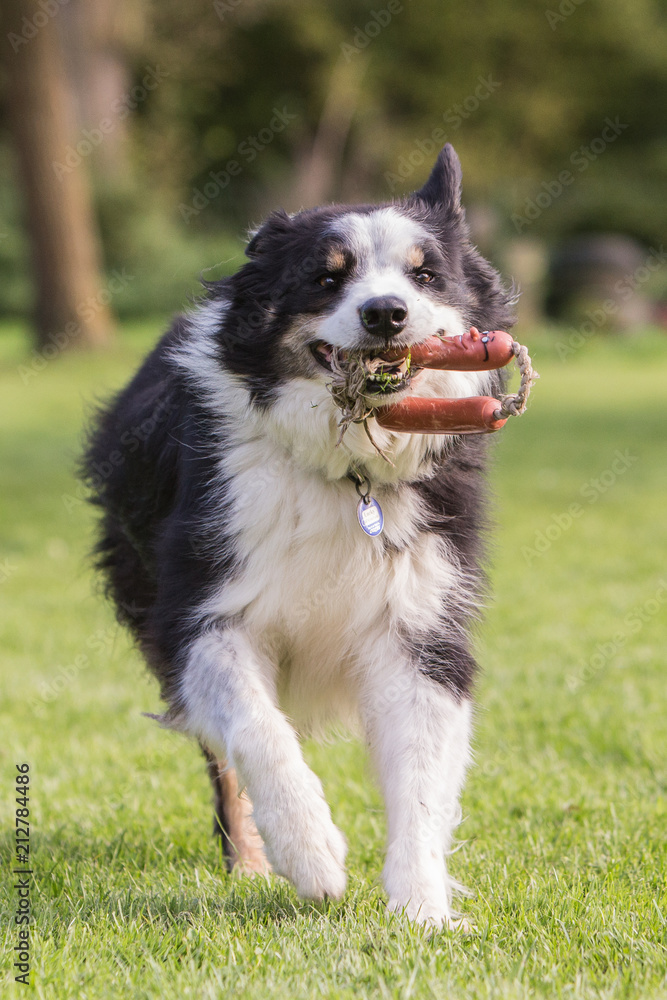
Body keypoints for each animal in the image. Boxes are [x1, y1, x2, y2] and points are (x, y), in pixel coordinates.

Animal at [85, 143, 516, 928]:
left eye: (424, 274)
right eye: (326, 277)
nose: (385, 313)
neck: (347, 470)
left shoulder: (420, 622)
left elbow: (421, 775)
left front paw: (420, 907)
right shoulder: (202, 609)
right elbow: (257, 728)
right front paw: (311, 853)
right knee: (224, 761)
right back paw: (252, 862)